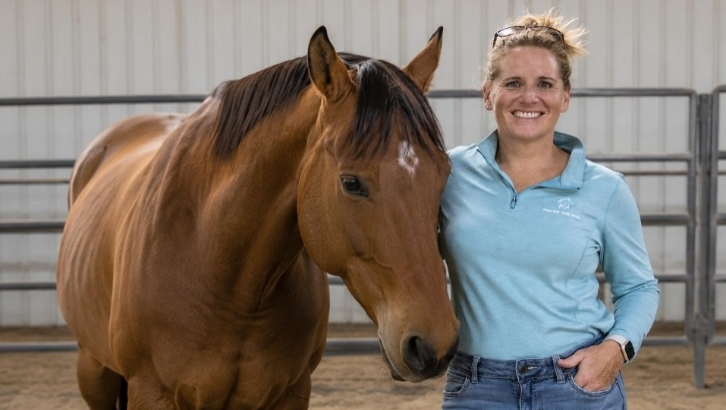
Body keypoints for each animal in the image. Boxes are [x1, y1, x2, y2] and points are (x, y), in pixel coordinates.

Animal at [56, 26, 459, 409]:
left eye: (444, 174)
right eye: (351, 183)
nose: (434, 345)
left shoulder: (291, 393)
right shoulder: (151, 393)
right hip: (93, 369)